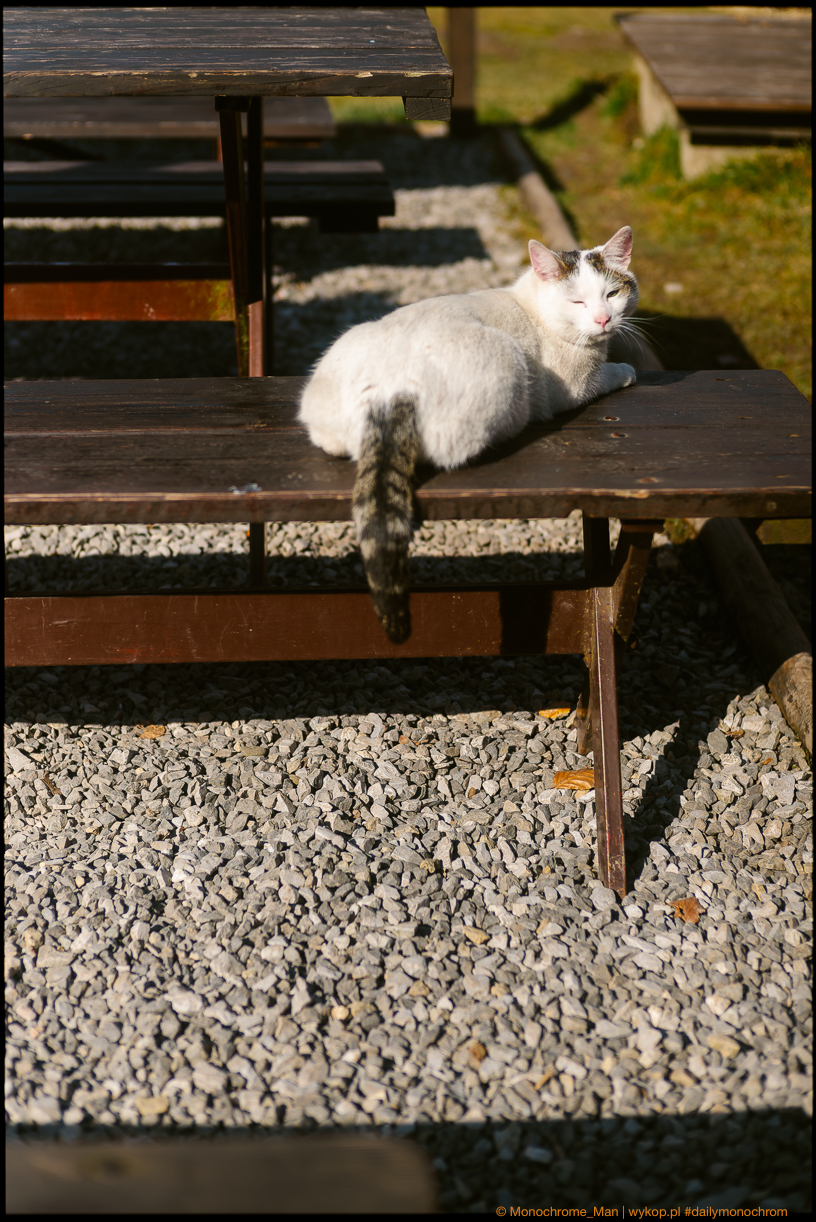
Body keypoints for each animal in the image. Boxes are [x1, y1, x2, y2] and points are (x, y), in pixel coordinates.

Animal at [298, 226, 638, 644]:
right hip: (507, 365)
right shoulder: (575, 386)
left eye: (612, 293)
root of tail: (389, 388)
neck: (532, 304)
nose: (604, 320)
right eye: (577, 301)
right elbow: (607, 375)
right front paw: (625, 370)